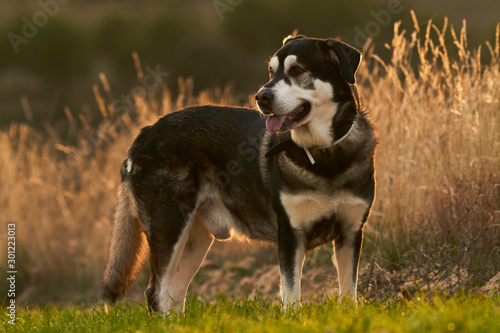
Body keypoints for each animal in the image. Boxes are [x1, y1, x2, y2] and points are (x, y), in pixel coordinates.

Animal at [101, 35, 376, 312]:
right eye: (271, 72)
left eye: (297, 70)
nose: (261, 96)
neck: (324, 154)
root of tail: (145, 132)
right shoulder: (291, 235)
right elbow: (291, 295)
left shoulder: (350, 233)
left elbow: (349, 294)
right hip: (168, 226)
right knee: (156, 293)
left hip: (193, 240)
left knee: (174, 293)